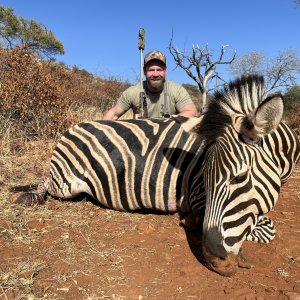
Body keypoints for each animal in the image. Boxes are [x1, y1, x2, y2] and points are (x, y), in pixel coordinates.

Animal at [14, 74, 300, 276]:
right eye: (205, 178)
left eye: (239, 178)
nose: (214, 261)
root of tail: (72, 127)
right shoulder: (197, 196)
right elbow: (265, 227)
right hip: (66, 184)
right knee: (45, 182)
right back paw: (29, 197)